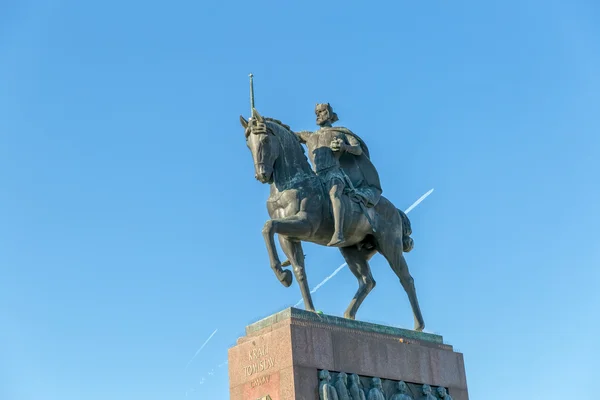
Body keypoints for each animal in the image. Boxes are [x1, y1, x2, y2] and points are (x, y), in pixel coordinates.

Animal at [239, 108, 426, 332]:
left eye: (265, 140)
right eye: (248, 144)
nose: (261, 175)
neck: (292, 183)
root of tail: (395, 210)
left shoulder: (305, 224)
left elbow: (268, 226)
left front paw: (282, 274)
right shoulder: (289, 237)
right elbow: (298, 267)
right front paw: (301, 298)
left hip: (390, 246)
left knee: (406, 278)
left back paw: (418, 326)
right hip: (351, 250)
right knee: (367, 281)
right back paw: (348, 316)